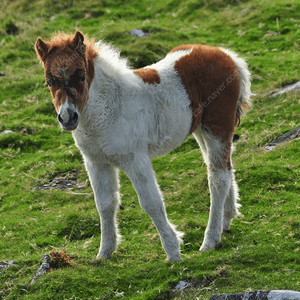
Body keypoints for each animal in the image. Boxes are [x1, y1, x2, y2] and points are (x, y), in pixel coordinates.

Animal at [35, 30, 251, 260]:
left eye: (82, 76)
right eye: (49, 81)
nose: (68, 118)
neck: (108, 108)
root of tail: (228, 56)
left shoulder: (136, 159)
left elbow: (151, 203)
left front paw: (173, 252)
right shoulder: (96, 163)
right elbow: (105, 204)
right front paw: (104, 252)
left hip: (217, 127)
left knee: (217, 178)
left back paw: (210, 240)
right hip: (201, 130)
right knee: (225, 169)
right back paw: (226, 220)